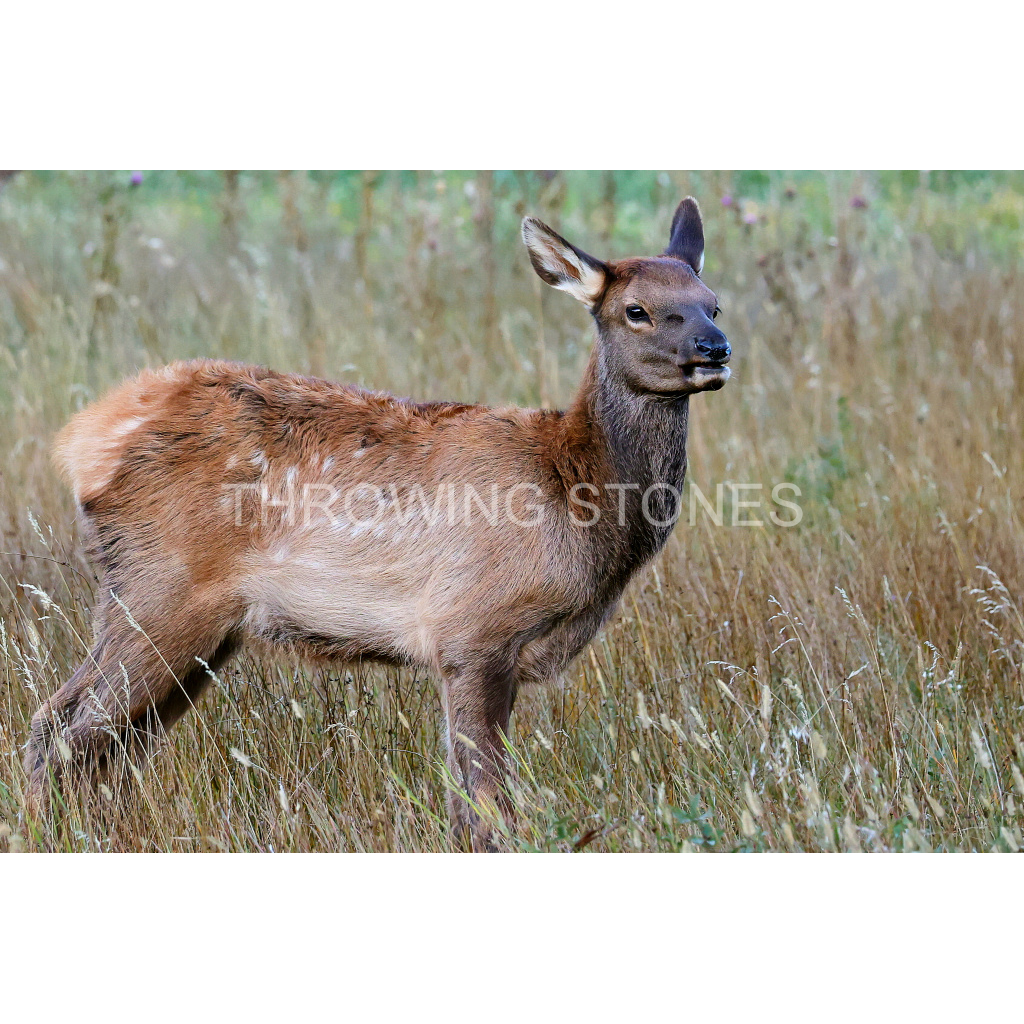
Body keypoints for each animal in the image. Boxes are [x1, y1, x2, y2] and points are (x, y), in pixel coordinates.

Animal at [24, 196, 731, 850]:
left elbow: (466, 797)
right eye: (635, 309)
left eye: (713, 303)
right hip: (162, 593)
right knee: (62, 727)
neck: (575, 491)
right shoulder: (472, 630)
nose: (714, 349)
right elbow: (486, 800)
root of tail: (85, 440)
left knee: (108, 743)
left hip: (191, 625)